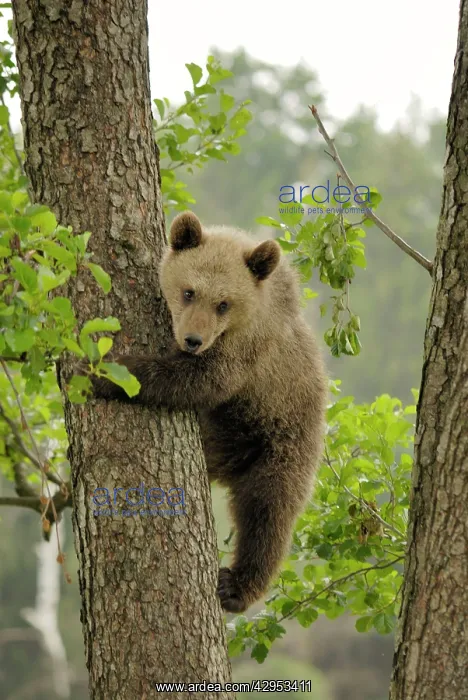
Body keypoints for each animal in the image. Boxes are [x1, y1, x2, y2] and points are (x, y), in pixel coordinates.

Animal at [91, 211, 327, 613]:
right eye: (189, 291)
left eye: (223, 304)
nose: (193, 340)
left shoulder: (244, 355)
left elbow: (195, 381)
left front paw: (110, 374)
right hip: (225, 433)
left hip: (282, 441)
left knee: (268, 512)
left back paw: (236, 586)